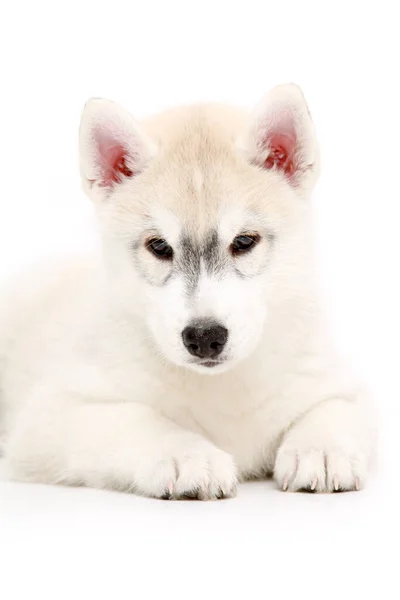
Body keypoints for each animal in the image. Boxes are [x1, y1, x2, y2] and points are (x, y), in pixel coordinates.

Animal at [0, 84, 376, 496]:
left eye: (244, 241)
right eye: (159, 246)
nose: (205, 337)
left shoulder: (336, 381)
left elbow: (334, 408)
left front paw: (321, 449)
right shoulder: (52, 414)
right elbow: (135, 420)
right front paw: (186, 455)